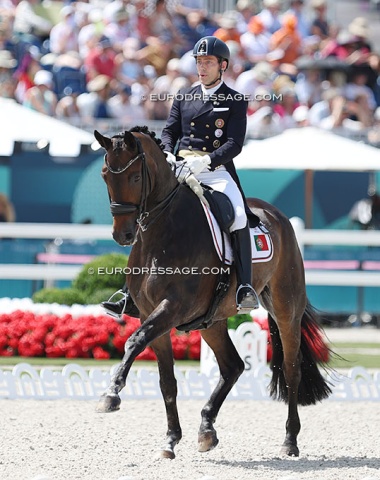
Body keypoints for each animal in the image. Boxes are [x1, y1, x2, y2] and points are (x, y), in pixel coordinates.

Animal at [93, 125, 332, 460]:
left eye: (136, 177)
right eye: (105, 175)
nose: (123, 235)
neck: (162, 233)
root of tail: (276, 215)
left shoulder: (173, 307)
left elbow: (135, 341)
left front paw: (111, 393)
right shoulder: (152, 314)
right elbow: (167, 381)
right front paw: (170, 441)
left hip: (286, 308)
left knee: (290, 368)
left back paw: (290, 440)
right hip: (212, 321)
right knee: (233, 366)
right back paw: (206, 430)